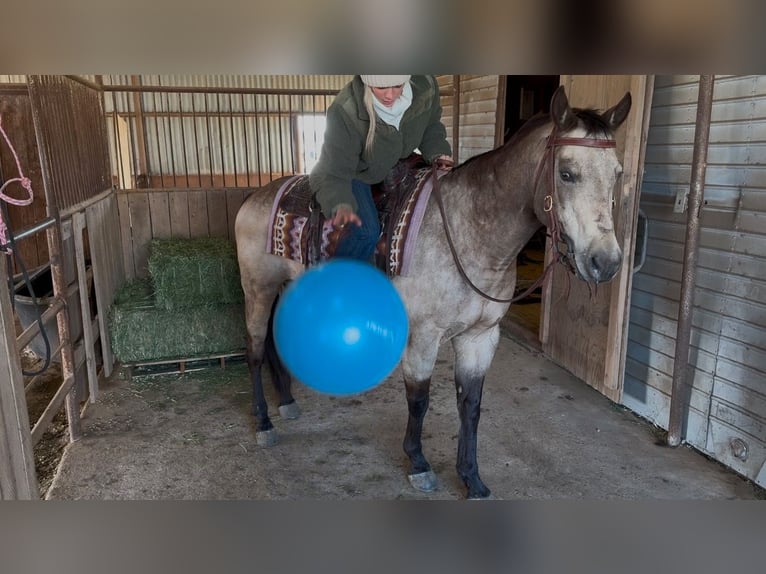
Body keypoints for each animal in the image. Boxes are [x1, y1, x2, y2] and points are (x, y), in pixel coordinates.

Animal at [237, 85, 632, 500]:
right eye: (567, 173)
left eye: (617, 173)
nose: (605, 262)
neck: (468, 232)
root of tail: (257, 195)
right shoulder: (423, 336)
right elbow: (420, 399)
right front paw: (419, 464)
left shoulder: (480, 337)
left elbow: (470, 405)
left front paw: (472, 478)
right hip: (257, 288)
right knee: (255, 349)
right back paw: (264, 422)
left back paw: (286, 402)